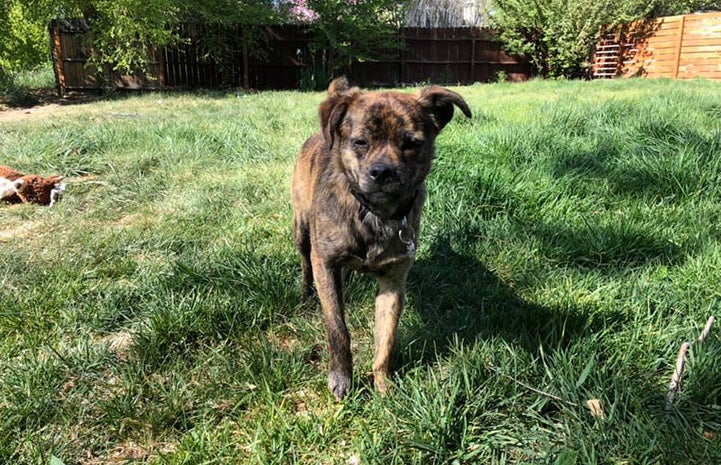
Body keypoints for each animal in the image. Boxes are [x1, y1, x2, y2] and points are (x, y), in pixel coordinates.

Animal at [292, 77, 472, 398]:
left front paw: (384, 386)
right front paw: (342, 378)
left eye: (412, 144)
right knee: (304, 262)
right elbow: (337, 328)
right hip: (301, 230)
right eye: (360, 142)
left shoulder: (393, 281)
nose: (383, 172)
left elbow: (386, 338)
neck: (374, 212)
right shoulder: (325, 263)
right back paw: (305, 293)